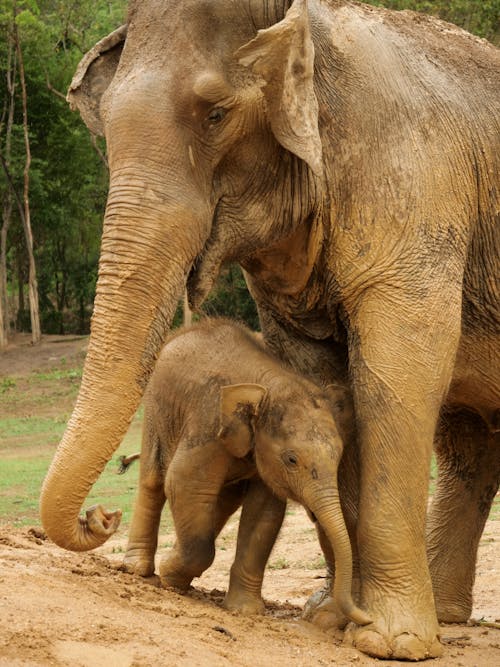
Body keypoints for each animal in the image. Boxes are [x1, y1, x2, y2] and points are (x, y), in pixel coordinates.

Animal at [123, 320, 370, 628]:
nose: (367, 618)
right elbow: (183, 483)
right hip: (157, 410)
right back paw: (136, 569)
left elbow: (264, 511)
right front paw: (169, 576)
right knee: (154, 481)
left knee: (224, 499)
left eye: (338, 458)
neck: (272, 384)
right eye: (291, 460)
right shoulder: (208, 424)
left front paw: (244, 611)